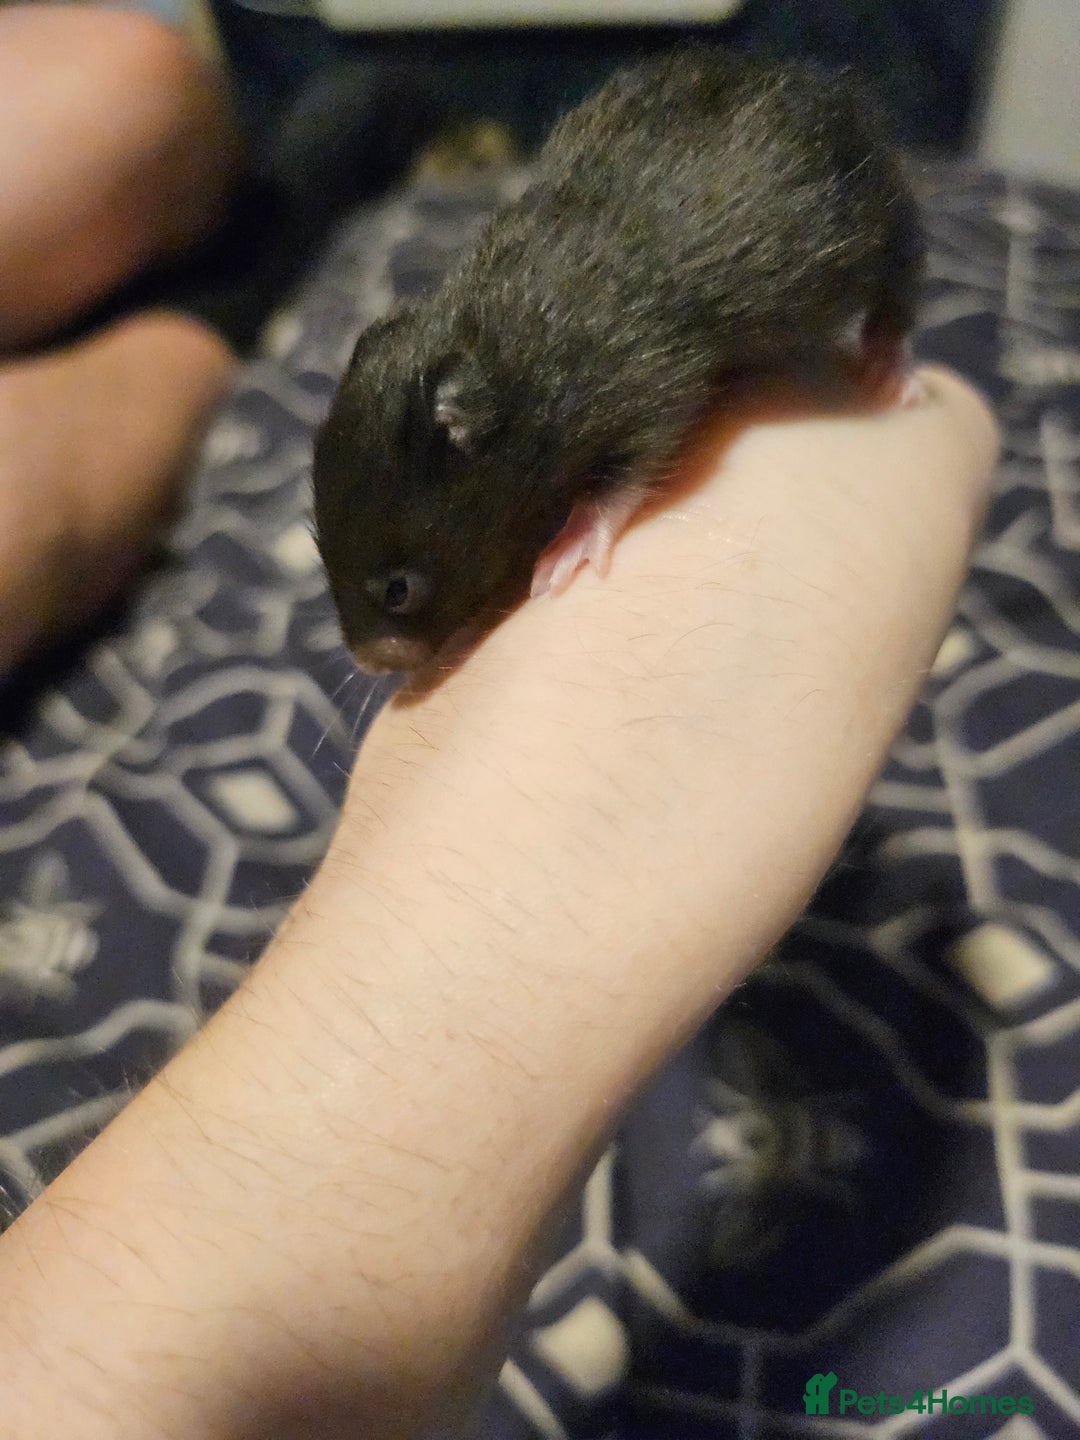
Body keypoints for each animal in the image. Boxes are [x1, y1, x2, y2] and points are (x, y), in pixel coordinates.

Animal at [312, 46, 924, 676]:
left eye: (398, 589)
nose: (371, 664)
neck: (504, 353)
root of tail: (831, 91)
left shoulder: (642, 378)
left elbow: (632, 466)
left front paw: (574, 541)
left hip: (873, 214)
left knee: (899, 278)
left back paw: (891, 366)